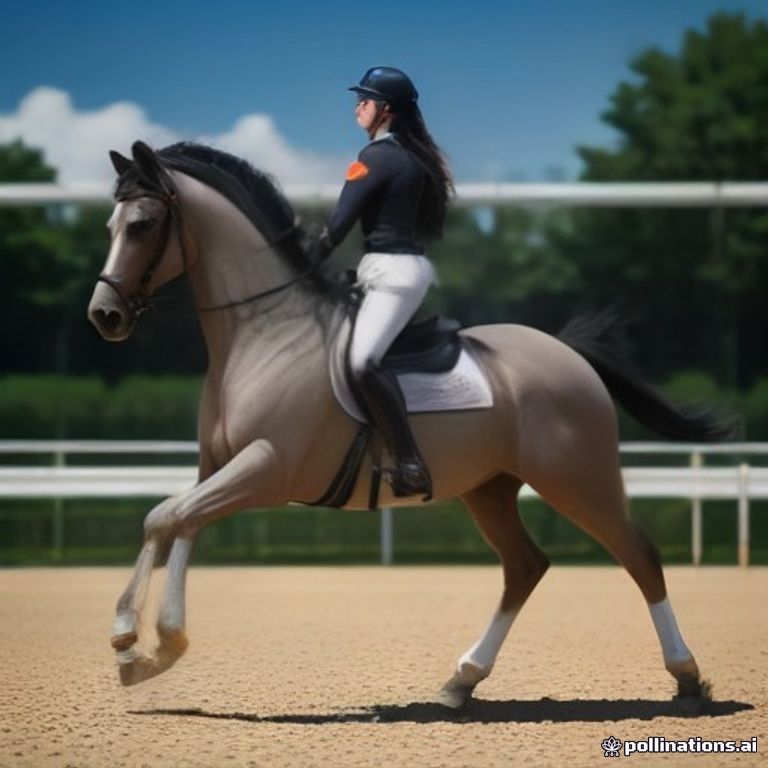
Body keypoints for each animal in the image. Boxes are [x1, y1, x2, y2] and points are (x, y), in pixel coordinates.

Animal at [88, 140, 726, 707]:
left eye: (142, 224)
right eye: (111, 225)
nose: (104, 315)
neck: (264, 334)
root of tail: (566, 351)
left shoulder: (266, 468)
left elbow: (166, 518)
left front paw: (135, 637)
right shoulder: (216, 469)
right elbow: (174, 522)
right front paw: (150, 649)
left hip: (579, 481)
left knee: (640, 556)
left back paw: (688, 679)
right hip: (491, 489)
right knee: (525, 566)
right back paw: (461, 681)